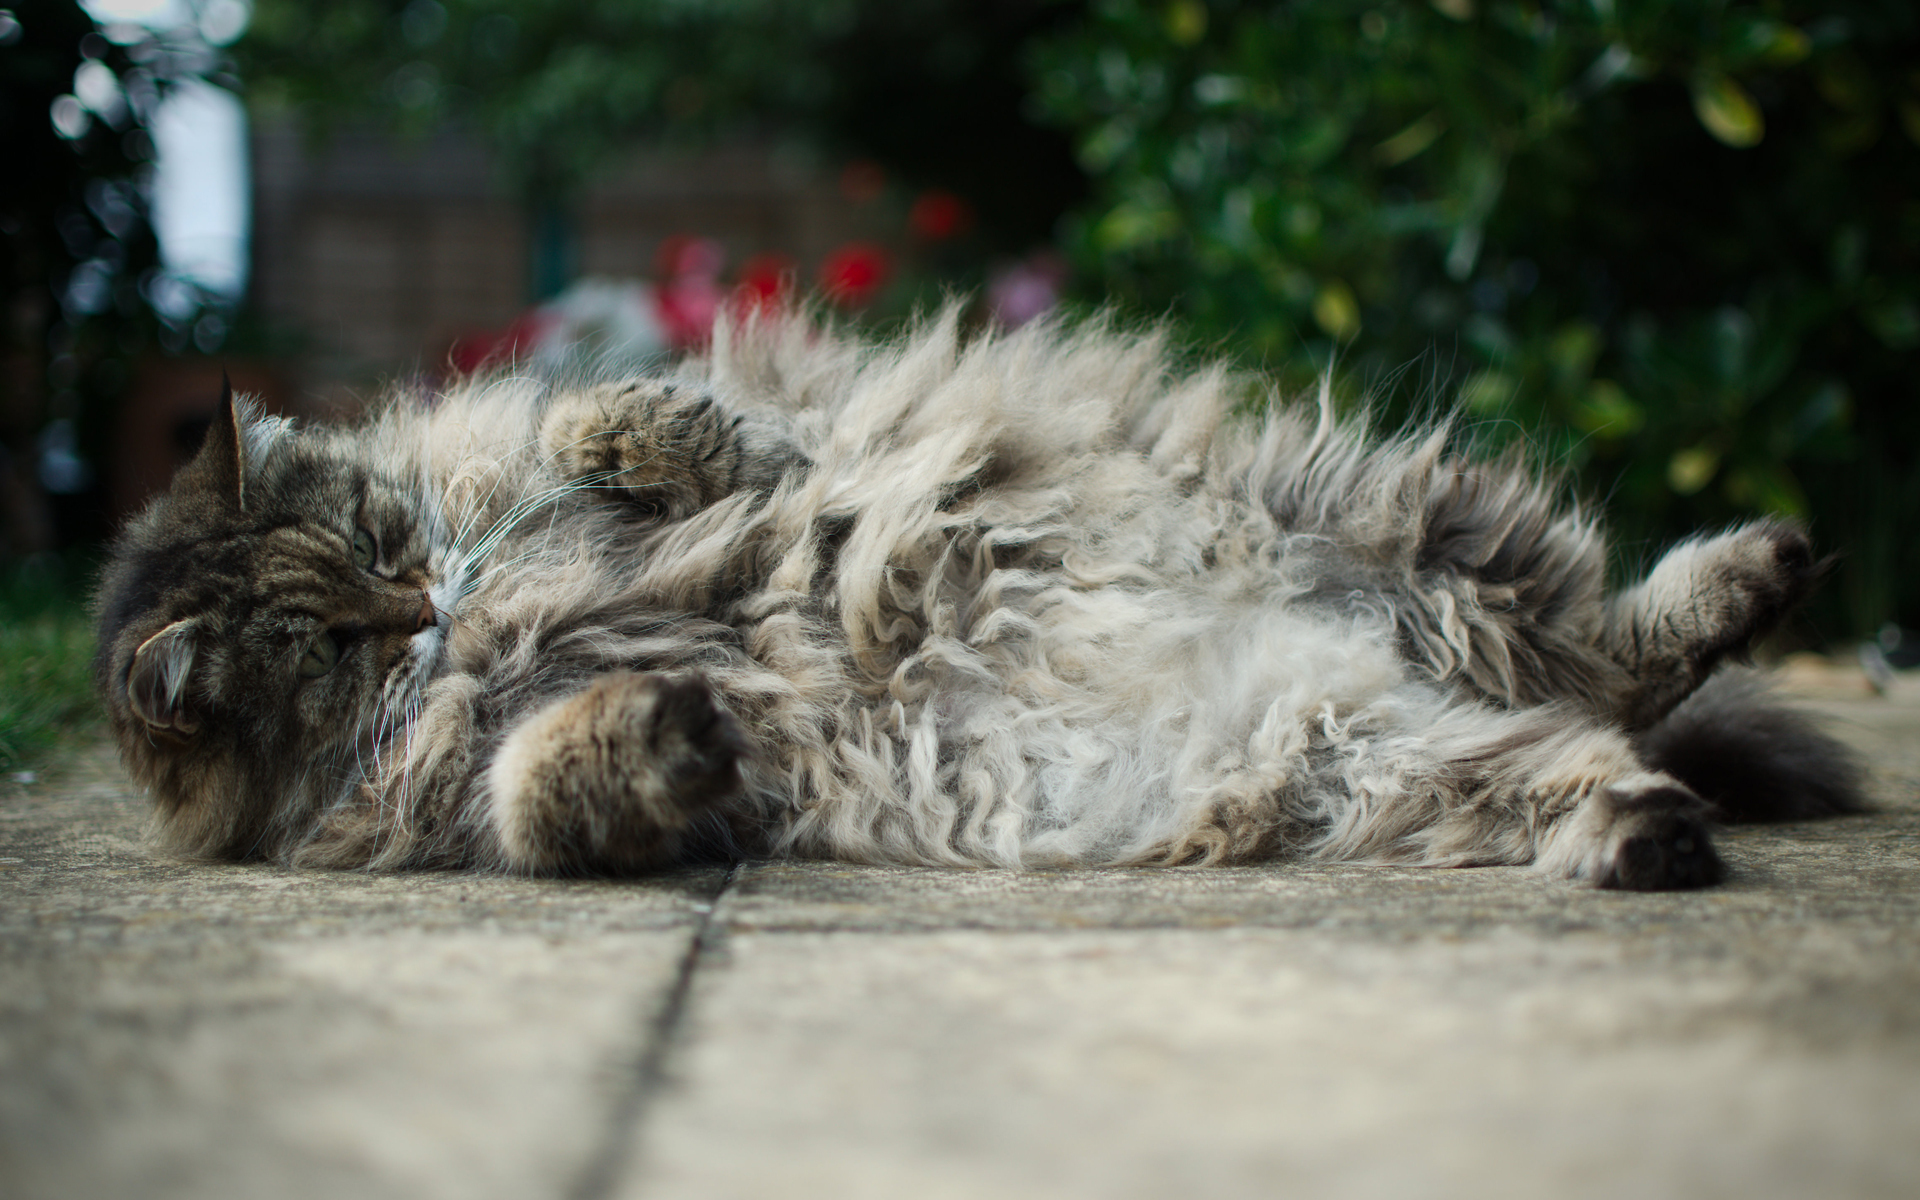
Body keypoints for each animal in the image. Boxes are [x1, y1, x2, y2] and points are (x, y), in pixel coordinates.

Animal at [90, 309, 1858, 890]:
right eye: (335, 644)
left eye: (392, 543)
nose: (430, 609)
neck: (504, 624)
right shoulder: (474, 799)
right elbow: (549, 787)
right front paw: (656, 729)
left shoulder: (655, 455)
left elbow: (645, 429)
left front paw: (658, 438)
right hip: (1371, 765)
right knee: (1590, 745)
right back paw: (1646, 837)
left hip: (1398, 535)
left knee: (1623, 660)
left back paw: (1760, 571)